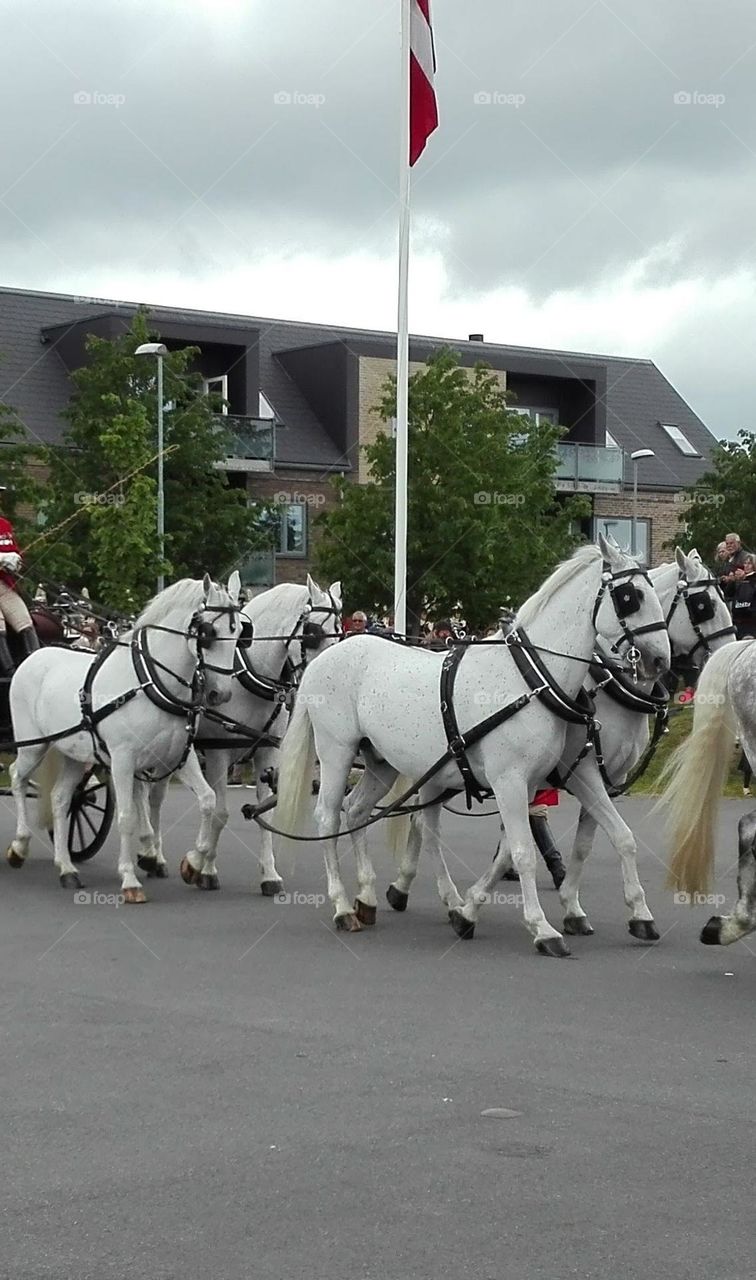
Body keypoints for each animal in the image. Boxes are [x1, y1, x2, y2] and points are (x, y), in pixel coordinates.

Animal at [6, 574, 242, 903]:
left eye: (241, 633)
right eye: (209, 632)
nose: (221, 694)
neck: (152, 683)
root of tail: (35, 655)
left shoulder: (178, 758)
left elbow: (208, 800)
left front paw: (193, 863)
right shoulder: (122, 760)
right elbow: (128, 816)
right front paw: (130, 879)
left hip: (74, 755)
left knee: (61, 798)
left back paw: (66, 868)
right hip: (34, 745)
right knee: (17, 776)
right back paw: (19, 846)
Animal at [136, 576, 342, 892]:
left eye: (340, 632)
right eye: (312, 633)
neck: (247, 677)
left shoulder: (267, 753)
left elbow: (262, 814)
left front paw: (269, 875)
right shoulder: (218, 753)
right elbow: (220, 813)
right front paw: (203, 867)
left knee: (157, 796)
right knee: (151, 796)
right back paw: (152, 854)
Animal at [271, 537, 670, 956]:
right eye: (630, 596)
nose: (661, 660)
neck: (530, 680)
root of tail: (325, 658)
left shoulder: (537, 782)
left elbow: (538, 846)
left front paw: (469, 911)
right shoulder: (510, 781)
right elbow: (524, 853)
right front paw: (542, 929)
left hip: (382, 762)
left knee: (358, 810)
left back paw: (368, 897)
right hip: (336, 751)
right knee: (329, 816)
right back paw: (343, 906)